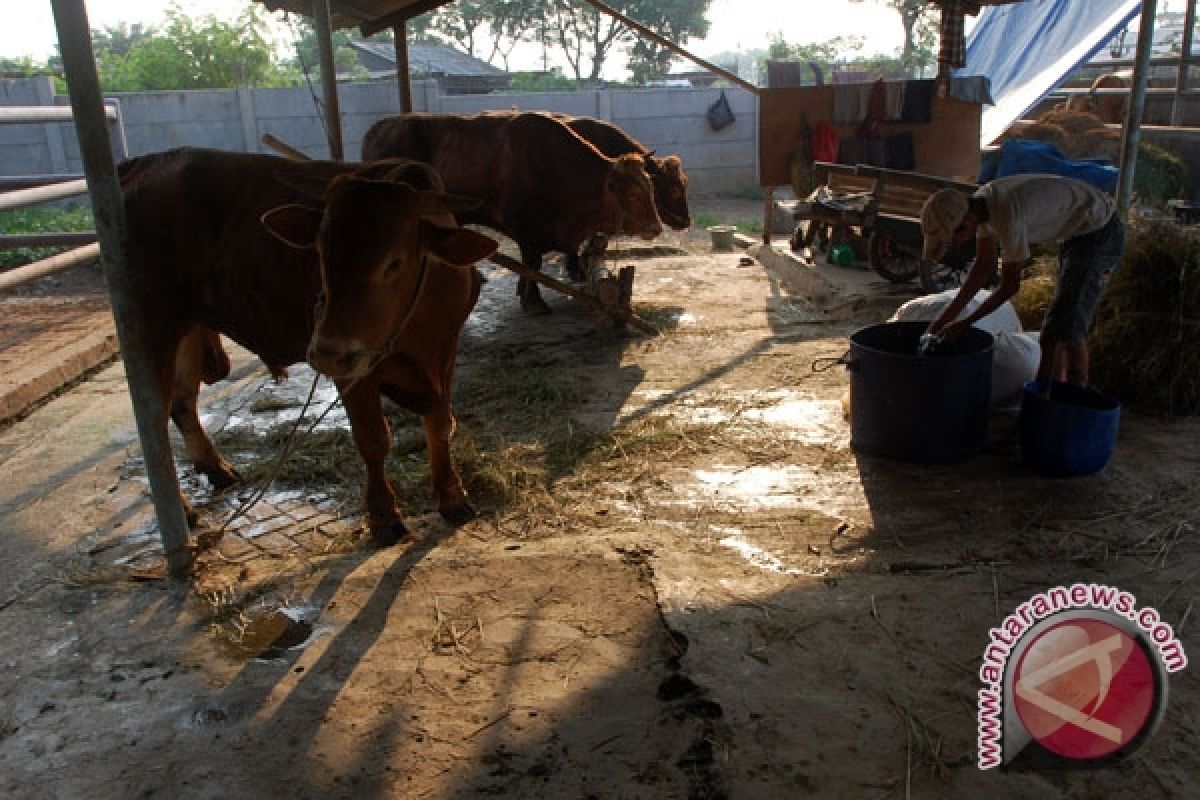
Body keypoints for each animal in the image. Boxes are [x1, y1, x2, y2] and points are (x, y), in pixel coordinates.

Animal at [118, 148, 496, 546]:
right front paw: (384, 516)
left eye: (394, 262)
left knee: (182, 402)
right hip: (151, 330)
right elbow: (374, 439)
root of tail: (141, 164)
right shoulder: (357, 372)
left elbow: (439, 424)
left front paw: (453, 497)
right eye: (320, 254)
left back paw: (217, 469)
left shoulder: (444, 353)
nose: (327, 353)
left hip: (188, 327)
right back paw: (183, 510)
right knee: (154, 428)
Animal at [364, 110, 667, 311]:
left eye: (651, 188)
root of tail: (380, 127)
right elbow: (532, 264)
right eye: (632, 193)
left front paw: (523, 292)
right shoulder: (525, 229)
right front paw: (533, 302)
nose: (655, 227)